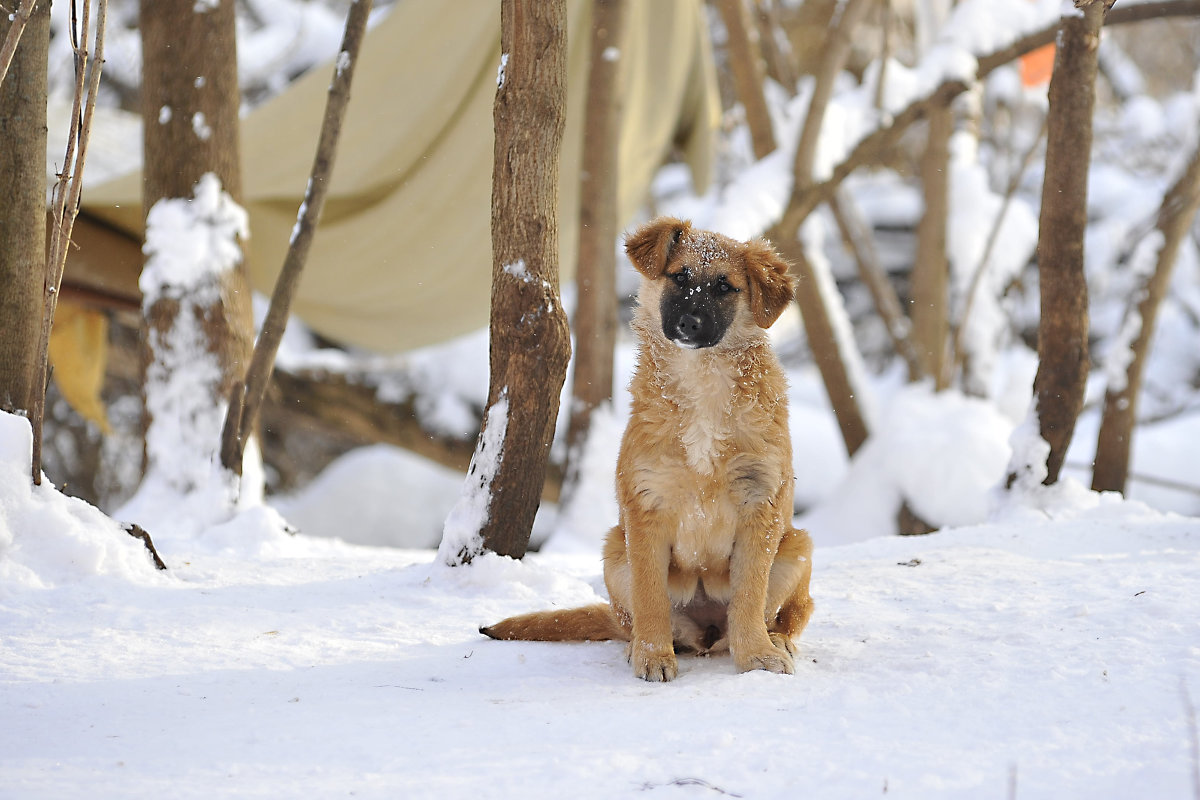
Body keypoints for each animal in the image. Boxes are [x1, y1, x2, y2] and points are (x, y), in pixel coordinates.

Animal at [480, 219, 816, 681]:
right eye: (679, 277)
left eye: (725, 287)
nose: (690, 324)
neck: (702, 381)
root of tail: (707, 629)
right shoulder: (647, 507)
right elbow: (651, 597)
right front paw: (654, 656)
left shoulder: (759, 505)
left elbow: (749, 596)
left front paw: (756, 655)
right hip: (614, 553)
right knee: (637, 621)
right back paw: (645, 644)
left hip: (796, 546)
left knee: (788, 613)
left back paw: (773, 640)